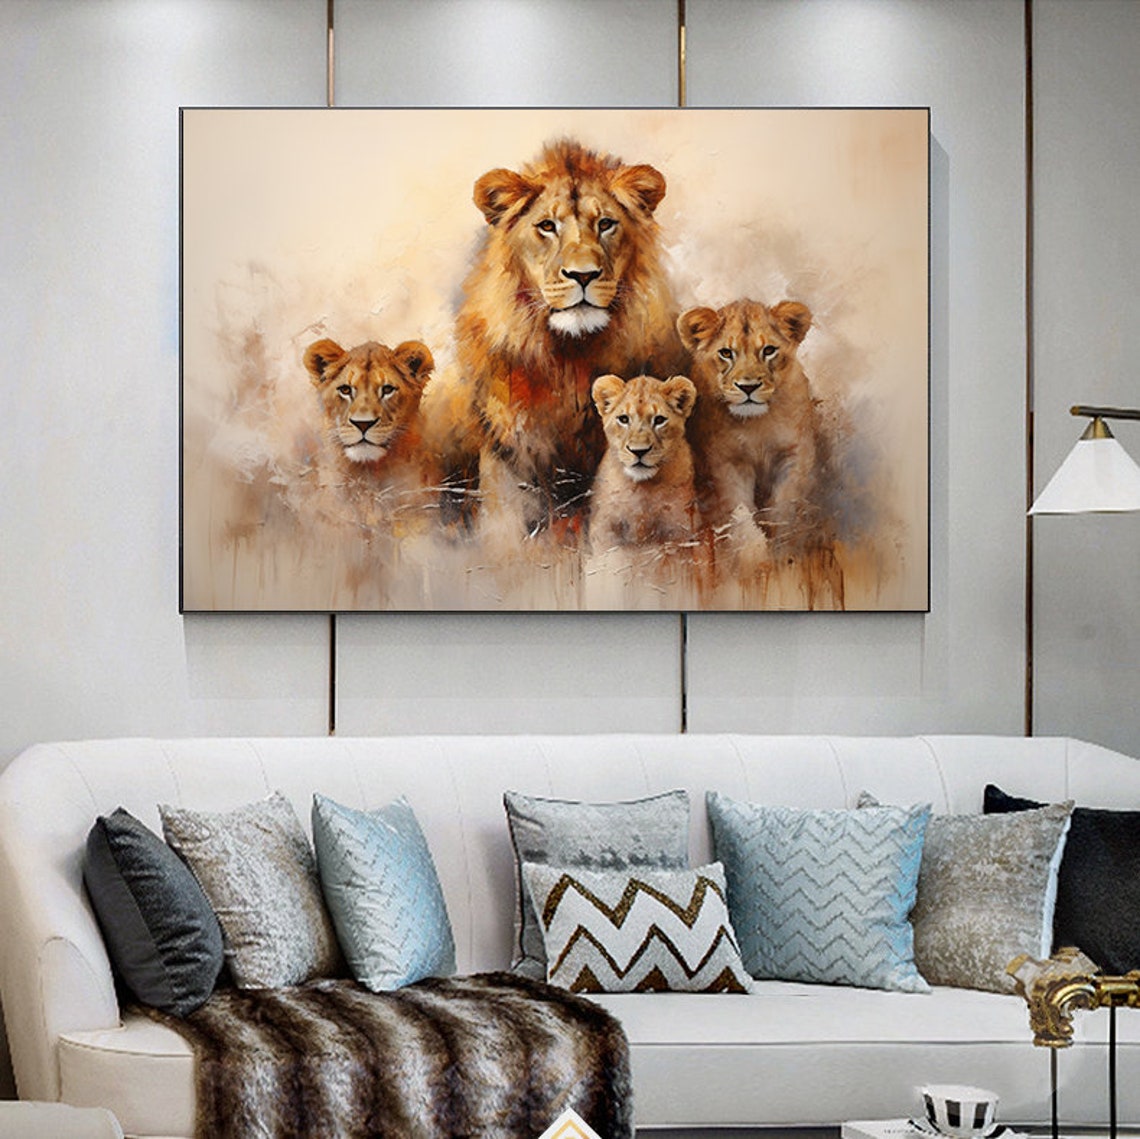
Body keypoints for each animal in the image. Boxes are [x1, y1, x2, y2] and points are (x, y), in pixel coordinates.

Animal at [588, 374, 699, 549]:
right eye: (623, 419)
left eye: (659, 420)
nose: (639, 451)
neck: (643, 487)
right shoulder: (604, 525)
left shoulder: (680, 525)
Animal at [678, 299, 829, 552]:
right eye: (726, 353)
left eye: (768, 350)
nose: (748, 387)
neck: (756, 425)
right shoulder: (726, 462)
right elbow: (739, 510)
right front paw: (752, 550)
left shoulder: (795, 453)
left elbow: (784, 504)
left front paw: (783, 545)